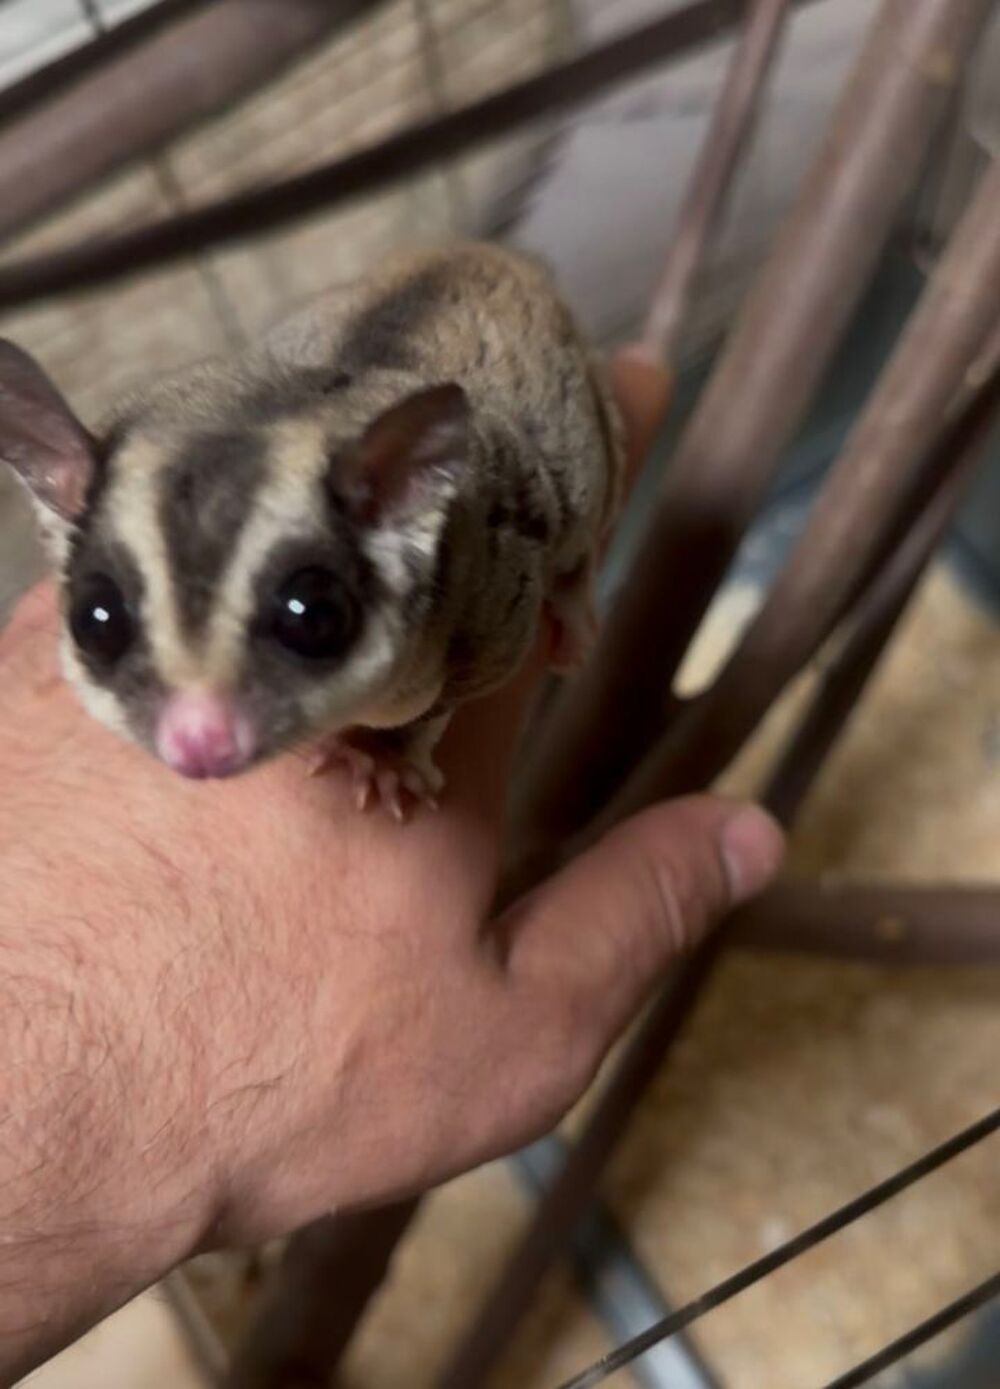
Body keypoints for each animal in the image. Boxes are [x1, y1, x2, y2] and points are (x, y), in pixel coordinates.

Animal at [0, 242, 623, 818]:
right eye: (96, 621)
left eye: (313, 616)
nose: (199, 741)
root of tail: (495, 255)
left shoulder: (493, 608)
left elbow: (454, 691)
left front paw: (384, 755)